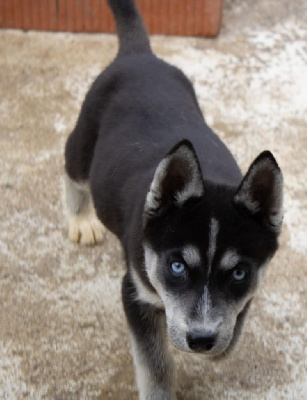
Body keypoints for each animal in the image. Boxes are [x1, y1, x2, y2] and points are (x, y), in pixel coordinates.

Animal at [64, 1, 284, 398]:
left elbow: (235, 323)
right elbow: (155, 364)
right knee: (72, 171)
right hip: (83, 145)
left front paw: (221, 346)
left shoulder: (250, 287)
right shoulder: (135, 293)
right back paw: (80, 220)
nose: (201, 340)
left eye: (239, 272)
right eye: (177, 266)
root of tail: (139, 55)